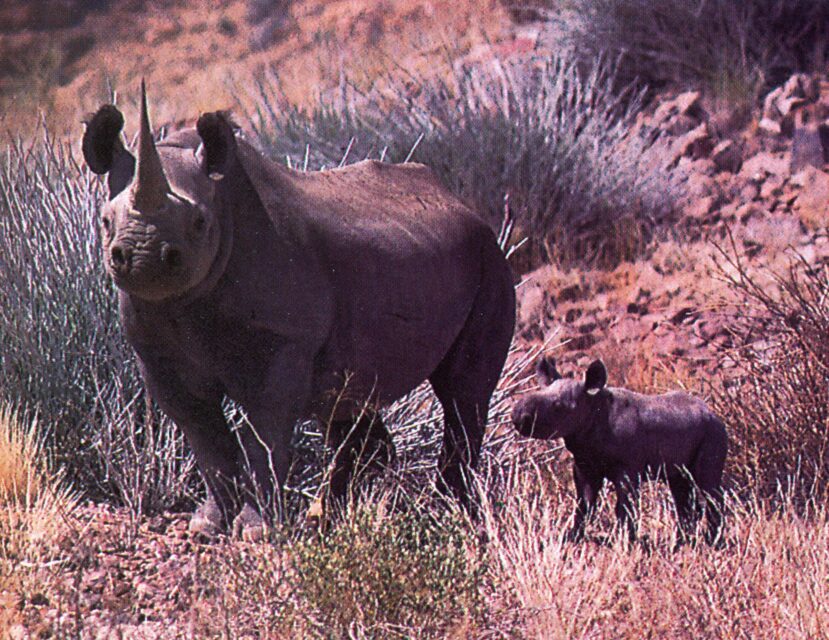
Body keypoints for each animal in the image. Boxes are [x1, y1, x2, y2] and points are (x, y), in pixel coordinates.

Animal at [81, 83, 516, 536]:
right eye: (105, 221)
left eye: (200, 223)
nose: (143, 258)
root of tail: (461, 203)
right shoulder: (157, 347)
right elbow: (203, 433)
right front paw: (208, 526)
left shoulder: (283, 340)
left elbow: (263, 432)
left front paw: (256, 530)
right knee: (346, 401)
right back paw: (330, 516)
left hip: (488, 260)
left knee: (463, 392)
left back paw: (451, 513)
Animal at [512, 357, 727, 546]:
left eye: (558, 407)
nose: (517, 415)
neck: (592, 407)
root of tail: (713, 414)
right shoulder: (584, 464)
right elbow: (585, 503)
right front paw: (573, 538)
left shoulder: (628, 469)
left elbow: (624, 506)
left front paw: (625, 543)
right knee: (680, 486)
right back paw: (683, 543)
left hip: (713, 432)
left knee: (708, 485)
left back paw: (714, 543)